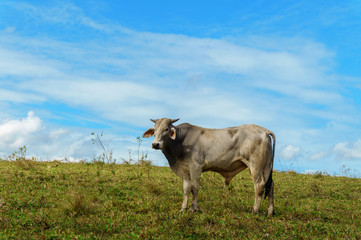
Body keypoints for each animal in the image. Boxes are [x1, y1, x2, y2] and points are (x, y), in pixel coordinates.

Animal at [142, 118, 274, 216]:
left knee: (259, 186)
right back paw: (270, 212)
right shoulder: (186, 171)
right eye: (154, 130)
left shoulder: (196, 167)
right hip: (266, 167)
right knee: (270, 185)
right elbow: (186, 190)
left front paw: (193, 209)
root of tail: (264, 130)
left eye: (166, 129)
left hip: (256, 166)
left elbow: (194, 188)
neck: (181, 142)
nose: (155, 144)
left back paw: (255, 210)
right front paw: (183, 208)